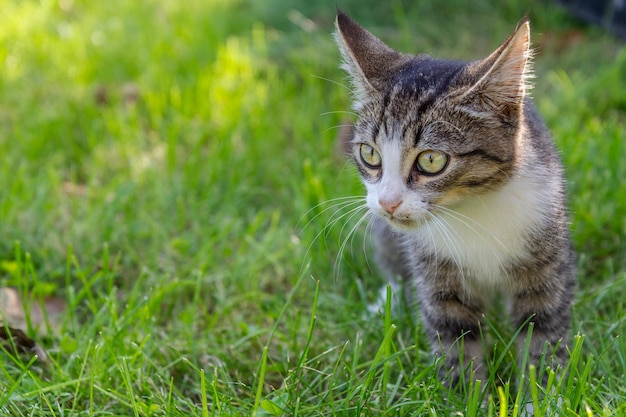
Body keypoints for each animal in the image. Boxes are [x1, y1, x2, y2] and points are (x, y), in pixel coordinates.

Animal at [332, 10, 576, 386]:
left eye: (431, 160)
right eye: (369, 154)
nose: (388, 202)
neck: (472, 210)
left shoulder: (545, 246)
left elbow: (543, 324)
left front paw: (543, 388)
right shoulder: (434, 267)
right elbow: (454, 331)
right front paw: (467, 390)